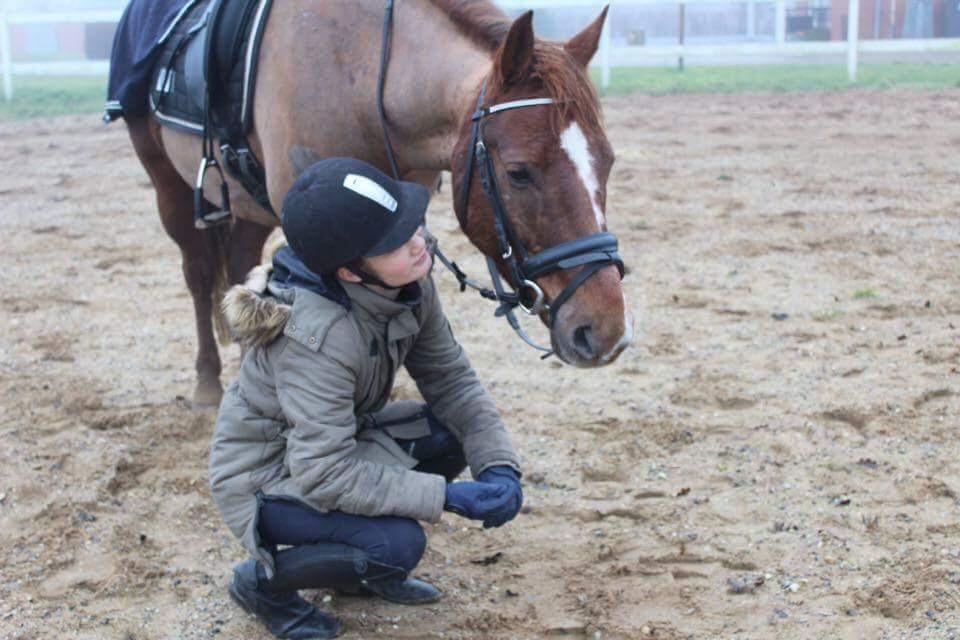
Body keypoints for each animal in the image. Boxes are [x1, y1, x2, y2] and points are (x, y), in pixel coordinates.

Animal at [124, 0, 632, 408]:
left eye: (608, 162)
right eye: (519, 173)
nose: (606, 331)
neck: (363, 73)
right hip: (168, 184)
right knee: (199, 274)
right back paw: (208, 384)